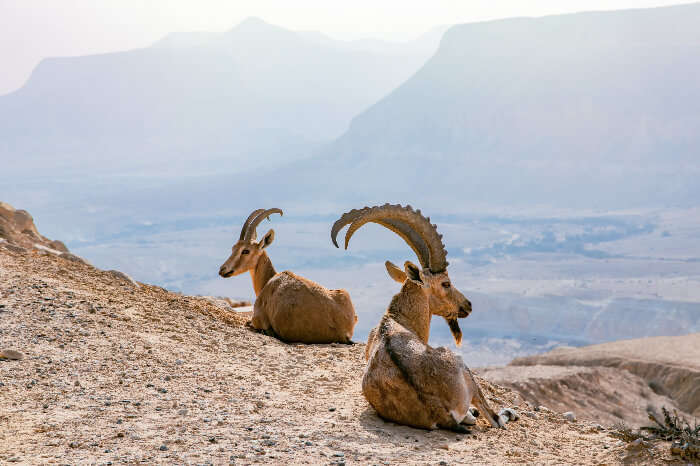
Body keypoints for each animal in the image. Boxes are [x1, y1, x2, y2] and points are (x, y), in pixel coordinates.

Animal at [220, 209, 356, 344]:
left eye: (246, 251)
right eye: (233, 248)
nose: (222, 269)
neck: (268, 281)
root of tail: (342, 332)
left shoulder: (257, 318)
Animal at [330, 206, 512, 432]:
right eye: (446, 283)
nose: (468, 305)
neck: (396, 321)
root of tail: (437, 410)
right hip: (459, 363)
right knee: (493, 418)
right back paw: (505, 413)